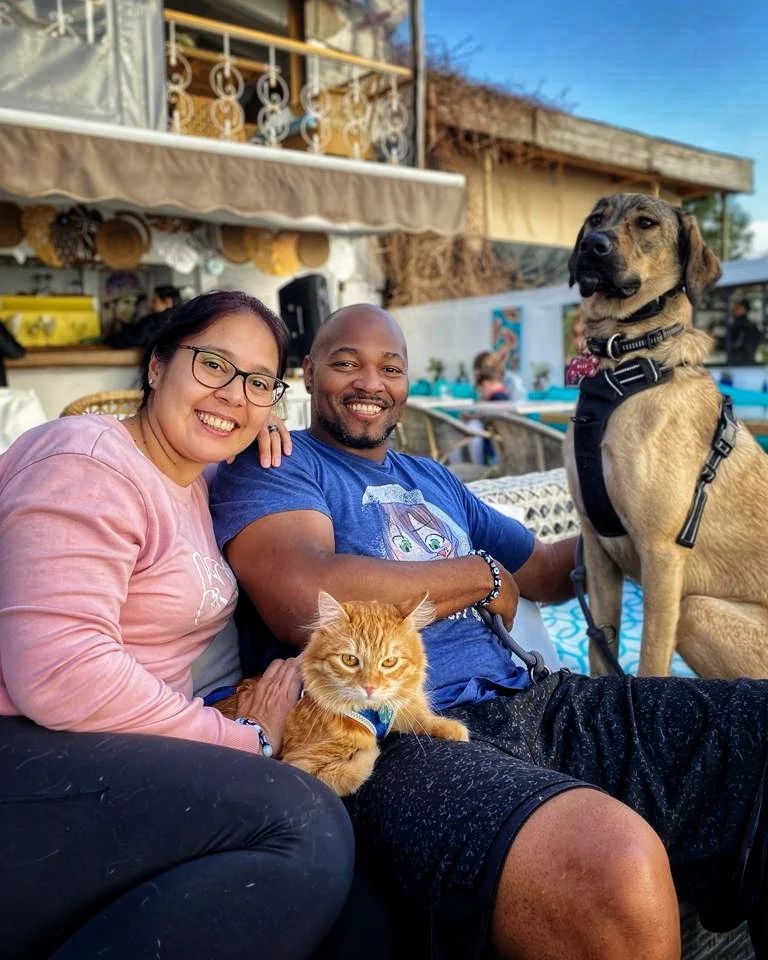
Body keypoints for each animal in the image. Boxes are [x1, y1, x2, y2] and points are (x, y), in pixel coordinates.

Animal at [282, 592, 472, 796]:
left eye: (389, 662)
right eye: (349, 660)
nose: (369, 687)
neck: (371, 711)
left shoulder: (398, 711)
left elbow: (421, 718)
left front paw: (452, 729)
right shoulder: (299, 764)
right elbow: (346, 774)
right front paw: (369, 749)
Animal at [560, 193, 768, 676]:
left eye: (646, 223)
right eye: (595, 219)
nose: (593, 245)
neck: (625, 361)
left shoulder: (662, 557)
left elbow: (651, 661)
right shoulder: (597, 552)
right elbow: (601, 650)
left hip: (697, 610)